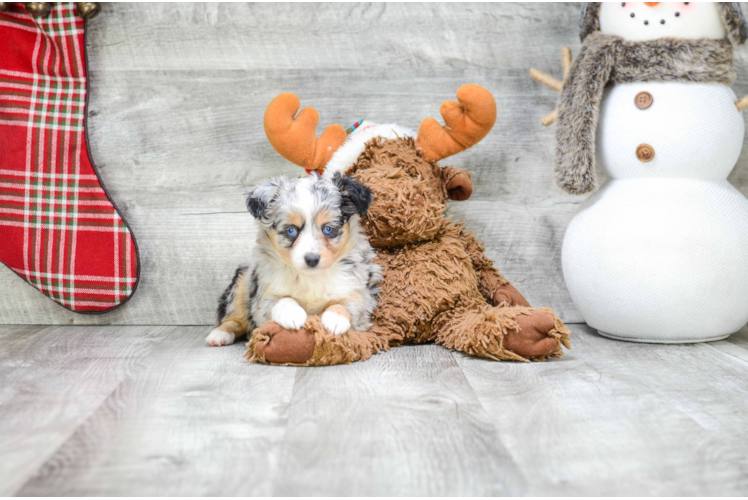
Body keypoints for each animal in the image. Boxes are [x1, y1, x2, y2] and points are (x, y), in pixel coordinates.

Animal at [205, 172, 380, 348]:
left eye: (328, 229)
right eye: (291, 231)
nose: (312, 259)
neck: (311, 277)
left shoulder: (359, 292)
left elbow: (349, 303)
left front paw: (334, 319)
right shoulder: (264, 297)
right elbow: (282, 300)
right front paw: (292, 314)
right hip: (241, 284)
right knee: (234, 317)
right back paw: (219, 334)